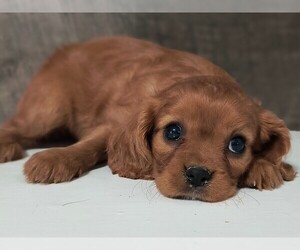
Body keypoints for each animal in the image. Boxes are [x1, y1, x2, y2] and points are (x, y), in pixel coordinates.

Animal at [0, 36, 296, 201]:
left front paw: (264, 166)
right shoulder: (115, 122)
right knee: (14, 125)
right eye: (173, 132)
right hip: (48, 109)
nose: (198, 175)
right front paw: (55, 159)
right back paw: (8, 147)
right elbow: (91, 144)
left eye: (237, 145)